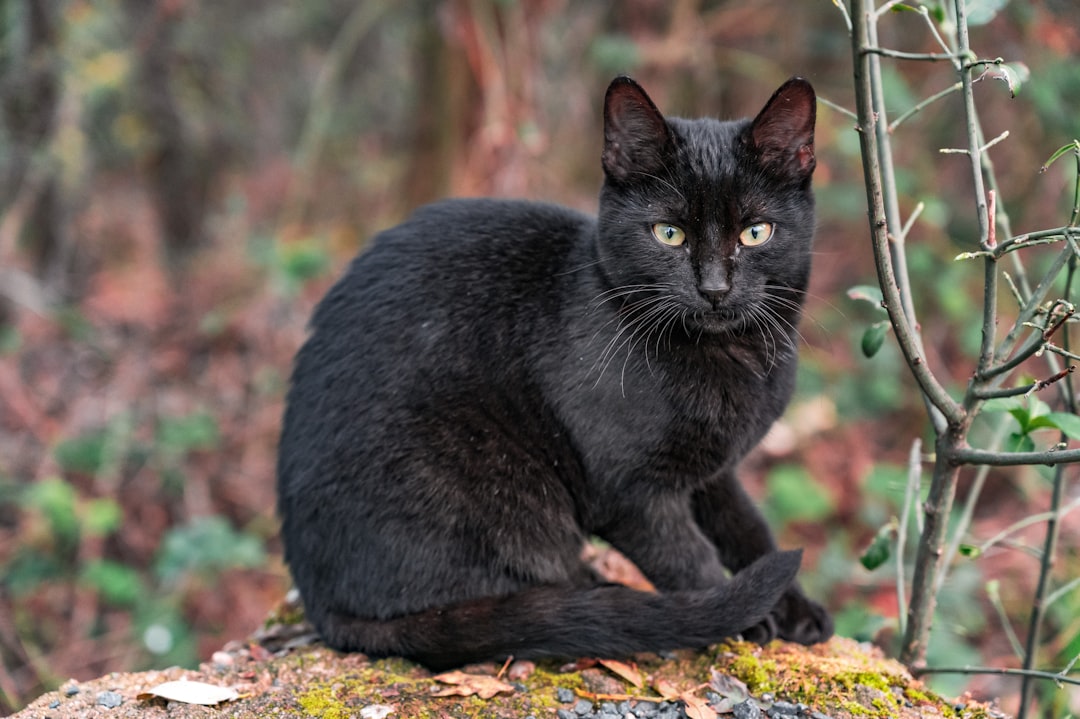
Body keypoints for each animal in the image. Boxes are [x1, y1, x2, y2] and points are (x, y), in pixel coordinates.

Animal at [274, 73, 829, 665]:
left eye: (756, 233)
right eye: (669, 234)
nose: (715, 289)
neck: (731, 358)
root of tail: (321, 602)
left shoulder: (714, 469)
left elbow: (747, 528)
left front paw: (796, 609)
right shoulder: (631, 493)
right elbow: (690, 557)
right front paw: (747, 620)